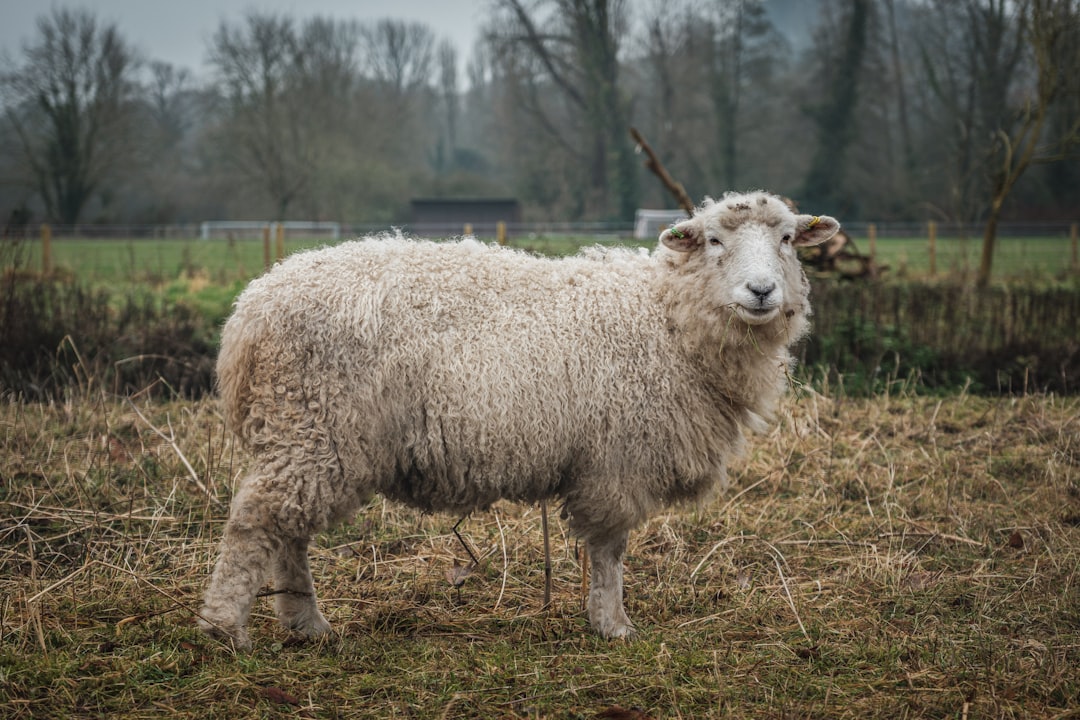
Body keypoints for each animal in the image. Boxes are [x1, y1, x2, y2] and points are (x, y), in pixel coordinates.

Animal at [200, 189, 842, 647]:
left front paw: (604, 619)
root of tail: (250, 310)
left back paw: (305, 625)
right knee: (256, 522)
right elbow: (609, 550)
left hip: (306, 436)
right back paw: (226, 627)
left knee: (287, 529)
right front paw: (613, 625)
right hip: (314, 426)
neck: (665, 316)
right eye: (712, 239)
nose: (761, 291)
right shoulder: (616, 459)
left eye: (788, 238)